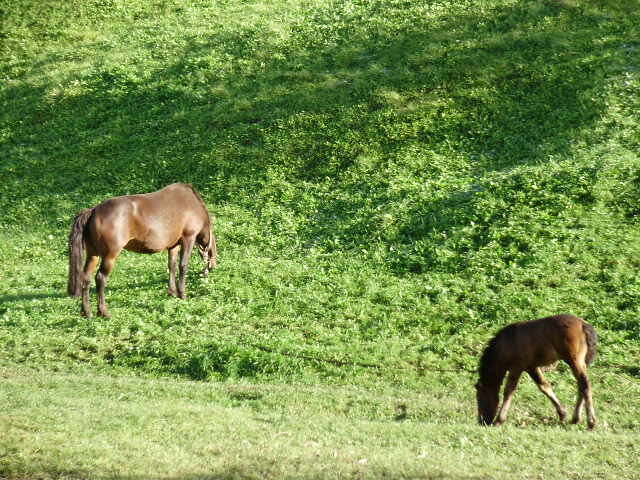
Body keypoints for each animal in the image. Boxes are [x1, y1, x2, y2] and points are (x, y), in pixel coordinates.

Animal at [67, 182, 218, 316]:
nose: (212, 266)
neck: (193, 204)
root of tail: (93, 211)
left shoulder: (173, 246)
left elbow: (172, 266)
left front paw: (172, 292)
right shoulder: (188, 238)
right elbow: (183, 266)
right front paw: (182, 294)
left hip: (93, 255)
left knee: (86, 278)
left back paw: (87, 312)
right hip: (110, 256)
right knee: (100, 279)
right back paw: (103, 312)